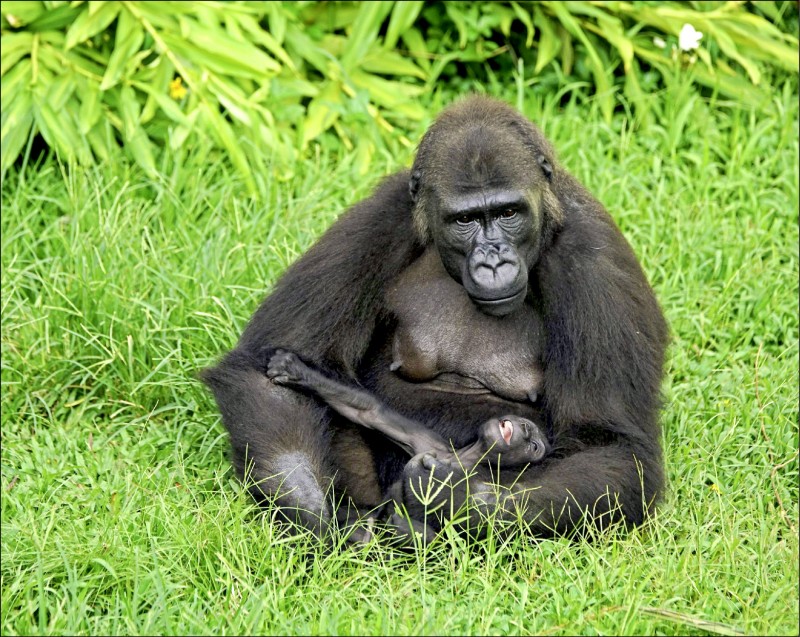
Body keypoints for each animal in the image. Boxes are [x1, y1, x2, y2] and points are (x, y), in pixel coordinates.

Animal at [268, 348, 552, 468]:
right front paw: (296, 371)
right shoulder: (427, 442)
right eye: (528, 431)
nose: (526, 429)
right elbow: (370, 412)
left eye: (534, 446)